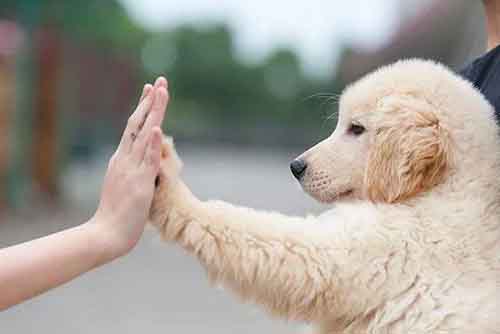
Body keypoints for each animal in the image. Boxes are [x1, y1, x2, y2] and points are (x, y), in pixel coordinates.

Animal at [148, 60, 500, 334]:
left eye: (356, 129)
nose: (296, 167)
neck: (446, 189)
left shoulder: (377, 250)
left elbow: (268, 239)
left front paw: (169, 185)